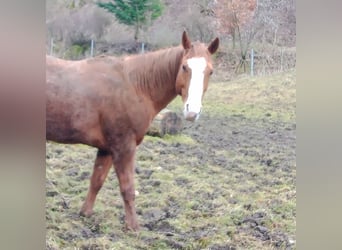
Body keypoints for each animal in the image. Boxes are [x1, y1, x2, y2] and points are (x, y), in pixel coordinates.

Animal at [46, 31, 219, 230]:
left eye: (210, 71)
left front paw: (85, 214)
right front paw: (133, 227)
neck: (135, 86)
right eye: (184, 67)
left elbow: (96, 181)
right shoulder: (124, 146)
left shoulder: (106, 148)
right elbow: (127, 188)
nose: (192, 112)